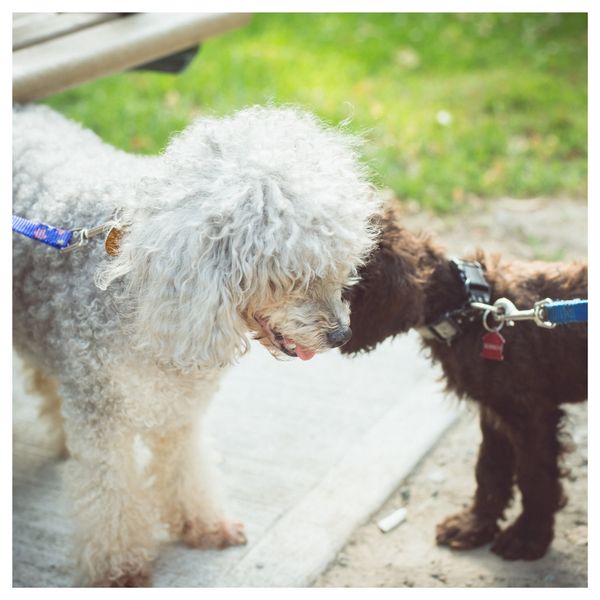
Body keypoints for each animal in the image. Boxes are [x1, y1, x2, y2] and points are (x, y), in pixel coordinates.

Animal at [12, 104, 380, 584]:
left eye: (339, 265)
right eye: (290, 275)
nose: (341, 334)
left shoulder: (178, 409)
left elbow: (185, 470)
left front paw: (203, 525)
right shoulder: (99, 415)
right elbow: (110, 493)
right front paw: (119, 567)